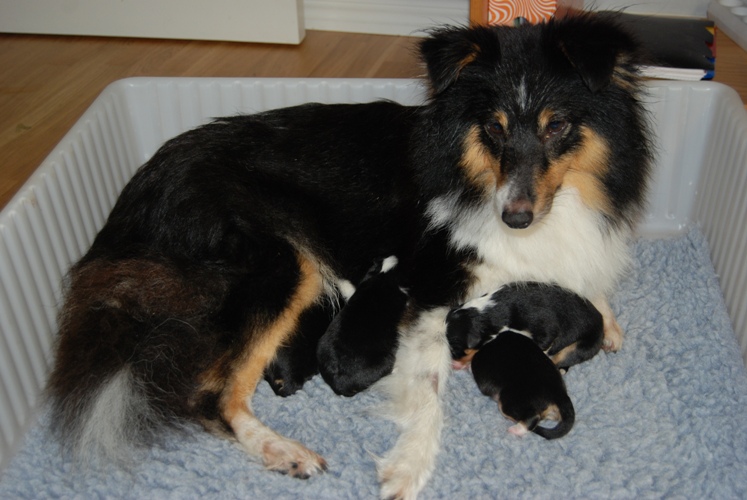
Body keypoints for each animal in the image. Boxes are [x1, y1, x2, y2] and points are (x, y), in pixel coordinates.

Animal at [446, 282, 604, 371]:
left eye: (455, 350)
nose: (453, 364)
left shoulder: (546, 326)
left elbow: (543, 344)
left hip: (579, 346)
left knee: (559, 359)